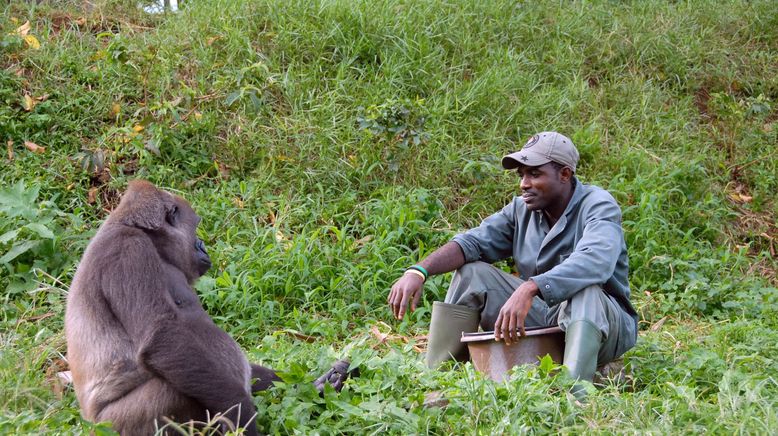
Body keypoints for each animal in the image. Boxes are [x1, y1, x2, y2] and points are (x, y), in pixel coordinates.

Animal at [65, 179, 350, 434]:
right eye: (196, 226)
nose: (203, 245)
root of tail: (90, 424)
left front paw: (316, 386)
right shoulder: (129, 250)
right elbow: (162, 338)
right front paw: (242, 415)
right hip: (113, 426)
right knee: (173, 389)